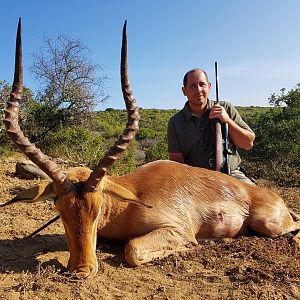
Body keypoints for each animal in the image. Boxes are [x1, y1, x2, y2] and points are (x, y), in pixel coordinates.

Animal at [2, 18, 300, 278]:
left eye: (97, 209)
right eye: (60, 210)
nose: (81, 271)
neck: (130, 200)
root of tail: (273, 198)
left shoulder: (176, 229)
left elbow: (133, 249)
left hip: (269, 224)